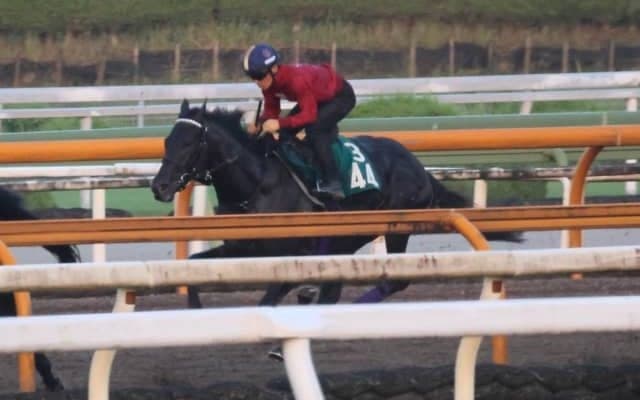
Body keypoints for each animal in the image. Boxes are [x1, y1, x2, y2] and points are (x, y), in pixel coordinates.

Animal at [151, 99, 523, 310]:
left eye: (188, 144)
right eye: (167, 141)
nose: (159, 186)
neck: (257, 183)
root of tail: (417, 165)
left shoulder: (289, 255)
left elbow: (270, 298)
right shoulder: (241, 249)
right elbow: (195, 271)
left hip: (392, 227)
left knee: (393, 280)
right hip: (348, 237)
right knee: (337, 284)